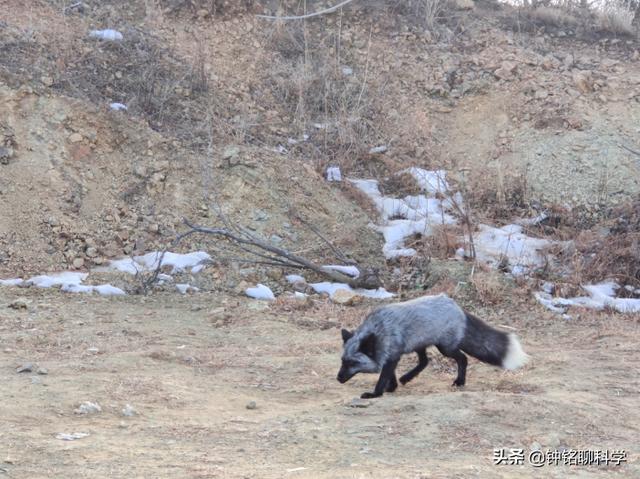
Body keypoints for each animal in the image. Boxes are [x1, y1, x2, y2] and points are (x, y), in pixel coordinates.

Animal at [338, 294, 528, 400]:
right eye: (342, 361)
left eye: (353, 363)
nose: (338, 378)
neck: (379, 330)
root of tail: (456, 306)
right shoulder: (391, 355)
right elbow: (390, 376)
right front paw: (392, 388)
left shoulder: (392, 356)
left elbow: (383, 378)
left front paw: (376, 394)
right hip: (420, 345)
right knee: (425, 362)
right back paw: (407, 377)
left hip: (445, 348)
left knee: (463, 358)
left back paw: (460, 381)